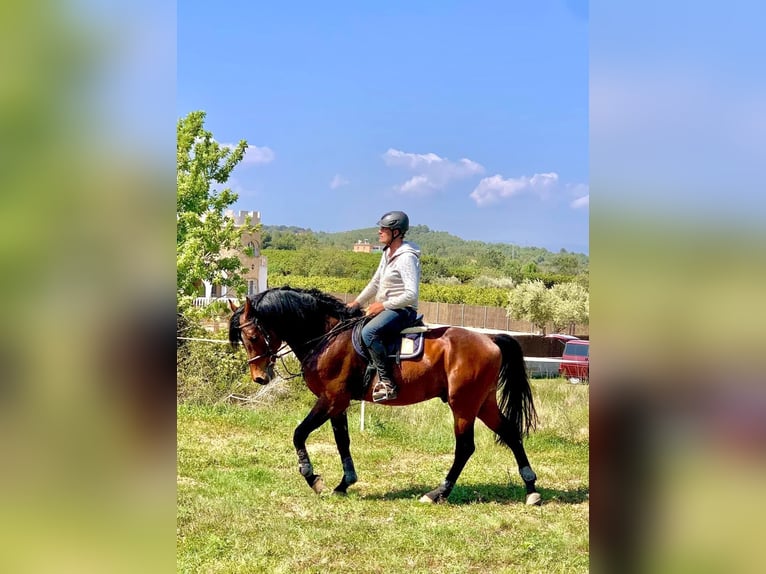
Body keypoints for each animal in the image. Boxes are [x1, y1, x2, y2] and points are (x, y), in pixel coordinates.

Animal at [228, 286, 541, 505]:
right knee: (511, 433)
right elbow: (342, 441)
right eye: (243, 339)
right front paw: (344, 483)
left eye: (253, 336)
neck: (328, 337)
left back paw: (437, 493)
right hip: (483, 403)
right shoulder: (338, 403)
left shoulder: (330, 399)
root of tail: (490, 339)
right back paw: (531, 490)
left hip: (463, 405)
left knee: (465, 447)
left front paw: (312, 477)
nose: (259, 377)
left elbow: (299, 434)